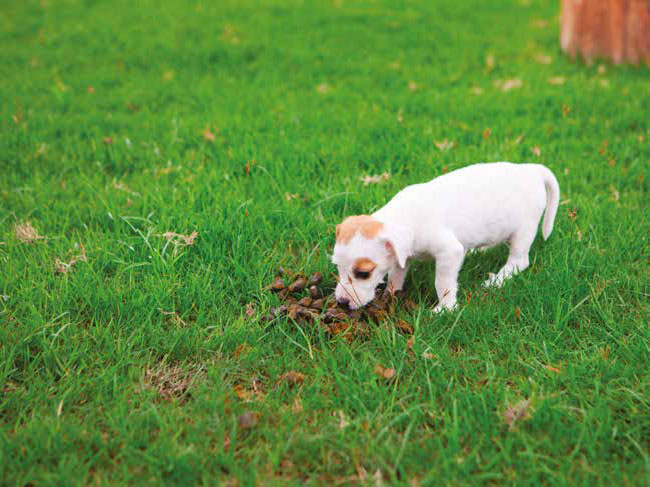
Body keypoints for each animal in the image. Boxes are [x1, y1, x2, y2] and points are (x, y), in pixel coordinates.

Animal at [332, 162, 560, 310]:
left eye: (363, 273)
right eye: (337, 267)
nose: (341, 303)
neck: (404, 217)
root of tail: (532, 170)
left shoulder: (449, 253)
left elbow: (442, 283)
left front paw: (445, 308)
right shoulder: (401, 258)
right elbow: (396, 275)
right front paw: (391, 294)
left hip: (524, 232)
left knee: (518, 261)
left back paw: (497, 280)